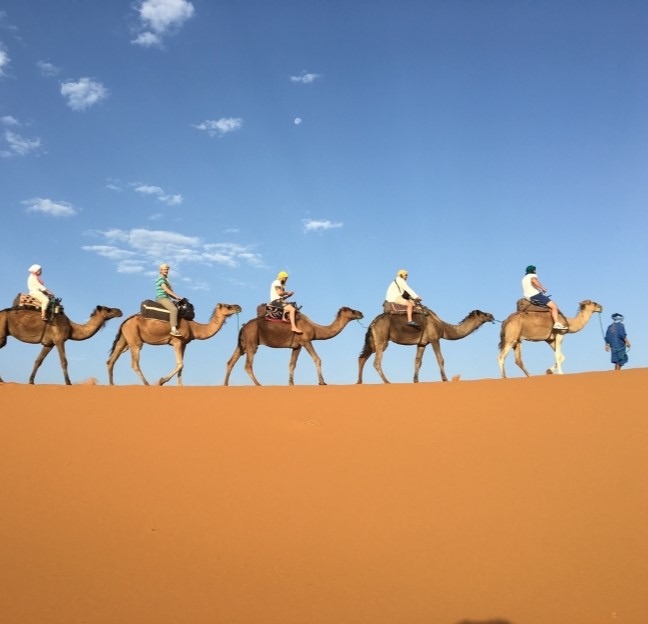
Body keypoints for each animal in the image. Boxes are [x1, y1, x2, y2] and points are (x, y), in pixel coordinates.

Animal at [107, 304, 242, 386]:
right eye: (228, 306)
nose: (239, 307)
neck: (194, 327)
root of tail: (125, 321)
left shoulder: (184, 344)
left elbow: (181, 366)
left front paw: (180, 385)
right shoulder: (176, 341)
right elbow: (180, 364)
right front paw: (161, 381)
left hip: (124, 338)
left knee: (111, 360)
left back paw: (112, 384)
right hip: (135, 340)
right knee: (134, 363)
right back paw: (147, 384)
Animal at [223, 306, 364, 386]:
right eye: (352, 311)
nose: (361, 313)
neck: (315, 329)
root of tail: (244, 326)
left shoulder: (297, 346)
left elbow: (292, 364)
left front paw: (291, 383)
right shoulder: (306, 341)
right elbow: (317, 359)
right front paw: (322, 382)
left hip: (242, 344)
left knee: (230, 362)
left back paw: (225, 384)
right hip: (252, 342)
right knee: (247, 365)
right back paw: (259, 384)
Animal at [356, 306, 494, 382]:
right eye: (483, 314)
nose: (491, 315)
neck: (443, 327)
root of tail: (373, 323)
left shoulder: (422, 344)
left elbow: (418, 361)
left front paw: (415, 380)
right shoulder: (434, 339)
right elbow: (440, 359)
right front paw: (445, 379)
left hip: (373, 341)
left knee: (362, 358)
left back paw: (359, 382)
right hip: (382, 339)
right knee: (376, 361)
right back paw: (387, 382)